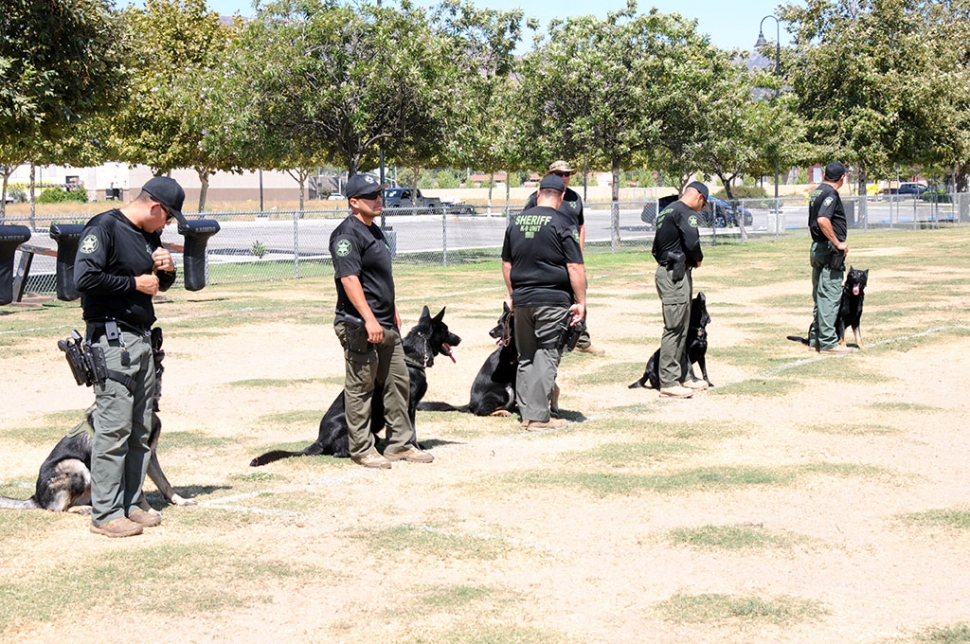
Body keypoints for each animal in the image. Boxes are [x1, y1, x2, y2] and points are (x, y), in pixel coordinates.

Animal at [0, 328, 195, 512]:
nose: (158, 329)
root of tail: (36, 498)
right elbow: (138, 491)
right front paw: (149, 512)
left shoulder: (149, 454)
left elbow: (164, 481)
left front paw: (180, 500)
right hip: (76, 465)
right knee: (60, 507)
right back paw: (83, 509)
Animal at [250, 304, 462, 466]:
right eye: (447, 329)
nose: (460, 338)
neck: (414, 356)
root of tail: (318, 441)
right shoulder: (408, 404)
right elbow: (412, 430)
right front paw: (415, 448)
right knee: (341, 451)